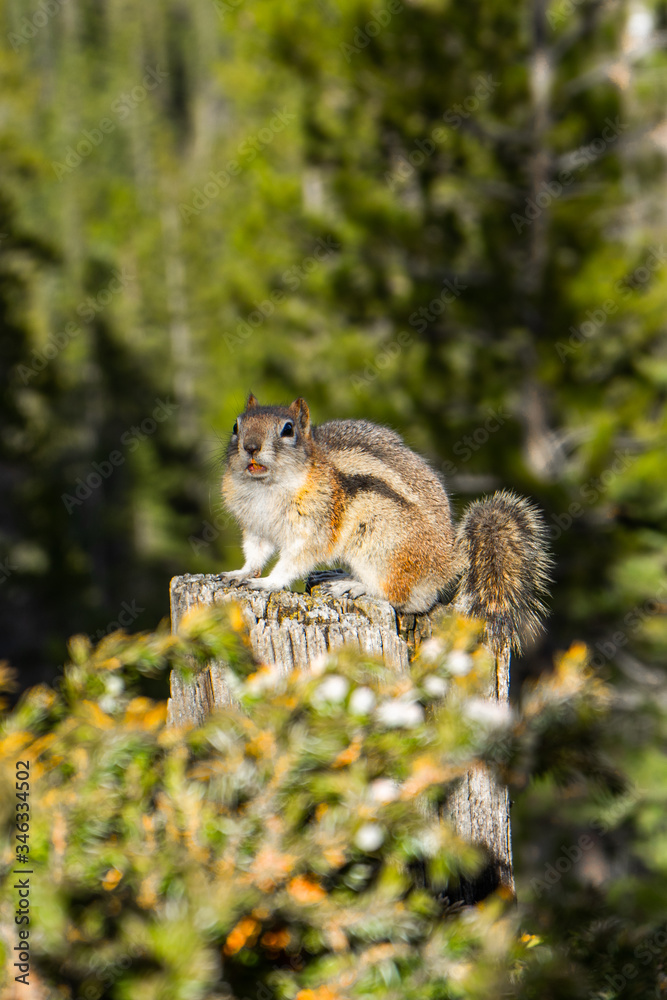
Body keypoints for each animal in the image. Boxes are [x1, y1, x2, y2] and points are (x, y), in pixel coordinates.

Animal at [221, 394, 552, 653]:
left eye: (287, 429)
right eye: (236, 426)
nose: (251, 446)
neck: (266, 487)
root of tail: (449, 561)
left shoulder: (316, 528)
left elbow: (293, 561)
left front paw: (268, 582)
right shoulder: (257, 528)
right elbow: (255, 554)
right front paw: (240, 573)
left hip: (380, 546)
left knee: (403, 597)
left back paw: (352, 585)